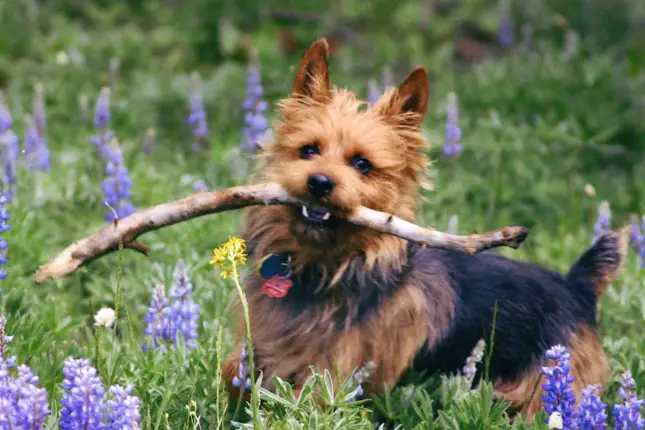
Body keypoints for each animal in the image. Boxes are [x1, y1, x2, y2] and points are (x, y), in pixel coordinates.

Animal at [223, 37, 628, 420]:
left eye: (362, 164)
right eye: (308, 150)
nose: (320, 182)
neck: (326, 267)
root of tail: (576, 285)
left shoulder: (336, 377)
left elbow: (307, 400)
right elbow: (235, 372)